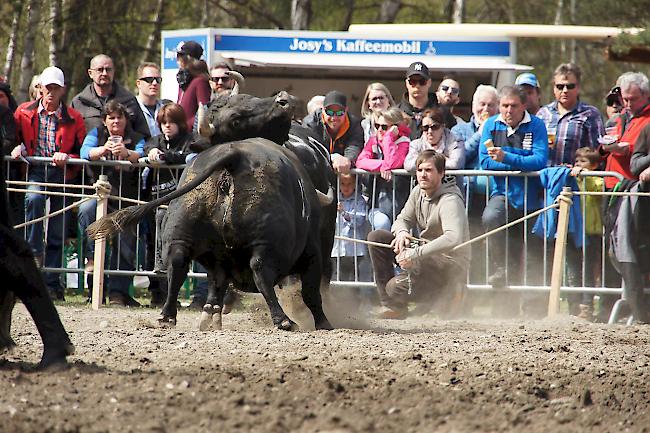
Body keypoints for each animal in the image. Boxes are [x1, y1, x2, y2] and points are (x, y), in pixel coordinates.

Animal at [88, 140, 332, 330]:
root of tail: (234, 158)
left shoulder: (217, 259)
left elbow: (216, 283)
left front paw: (210, 314)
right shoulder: (313, 255)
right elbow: (311, 292)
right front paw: (323, 322)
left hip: (182, 235)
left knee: (177, 268)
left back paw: (168, 317)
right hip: (267, 246)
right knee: (260, 272)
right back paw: (284, 320)